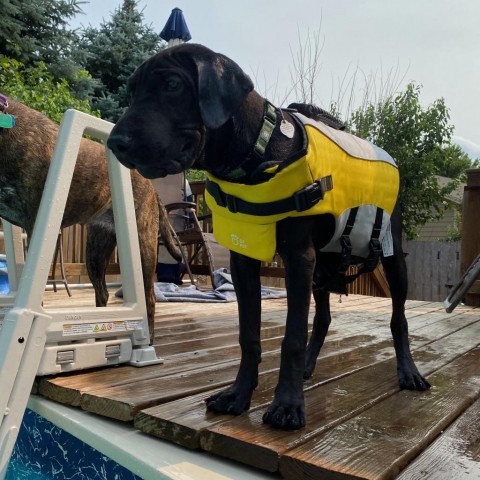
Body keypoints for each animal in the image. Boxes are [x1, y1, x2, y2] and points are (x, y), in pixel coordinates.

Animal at [0, 99, 180, 344]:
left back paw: (148, 340)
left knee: (149, 297)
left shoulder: (34, 223)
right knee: (102, 292)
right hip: (95, 252)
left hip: (143, 248)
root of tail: (152, 188)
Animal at [107, 43, 430, 430]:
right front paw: (238, 394)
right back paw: (308, 366)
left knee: (398, 318)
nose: (114, 142)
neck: (257, 155)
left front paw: (288, 404)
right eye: (133, 91)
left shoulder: (298, 257)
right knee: (323, 317)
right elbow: (249, 334)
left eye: (172, 84)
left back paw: (408, 371)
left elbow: (291, 335)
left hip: (388, 255)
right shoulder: (245, 260)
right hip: (324, 262)